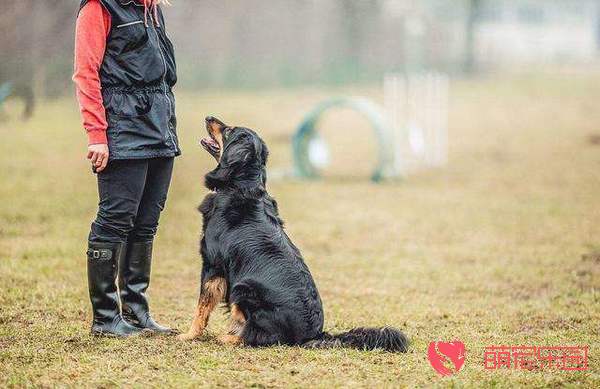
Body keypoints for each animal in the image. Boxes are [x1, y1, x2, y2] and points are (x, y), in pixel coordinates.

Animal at [178, 116, 410, 352]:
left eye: (228, 130)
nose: (209, 117)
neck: (240, 185)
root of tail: (313, 334)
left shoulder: (212, 265)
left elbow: (201, 307)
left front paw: (189, 335)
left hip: (243, 289)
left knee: (261, 336)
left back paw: (229, 338)